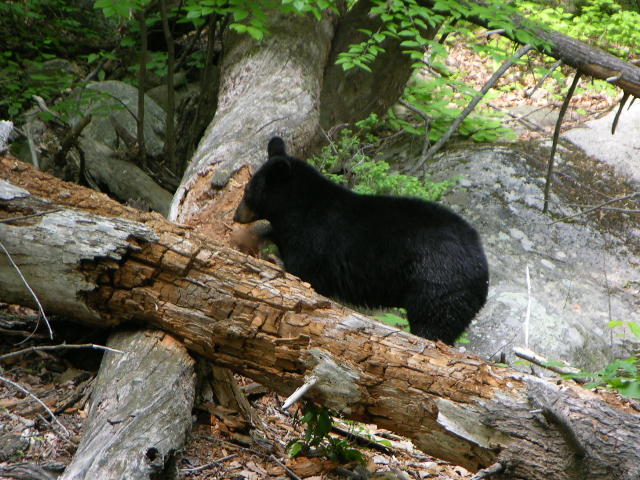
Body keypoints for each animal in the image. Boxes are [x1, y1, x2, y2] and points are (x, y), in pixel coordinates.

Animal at [235, 137, 490, 344]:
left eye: (248, 190)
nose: (236, 215)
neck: (298, 209)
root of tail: (482, 266)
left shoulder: (315, 241)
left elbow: (305, 274)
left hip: (438, 282)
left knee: (432, 324)